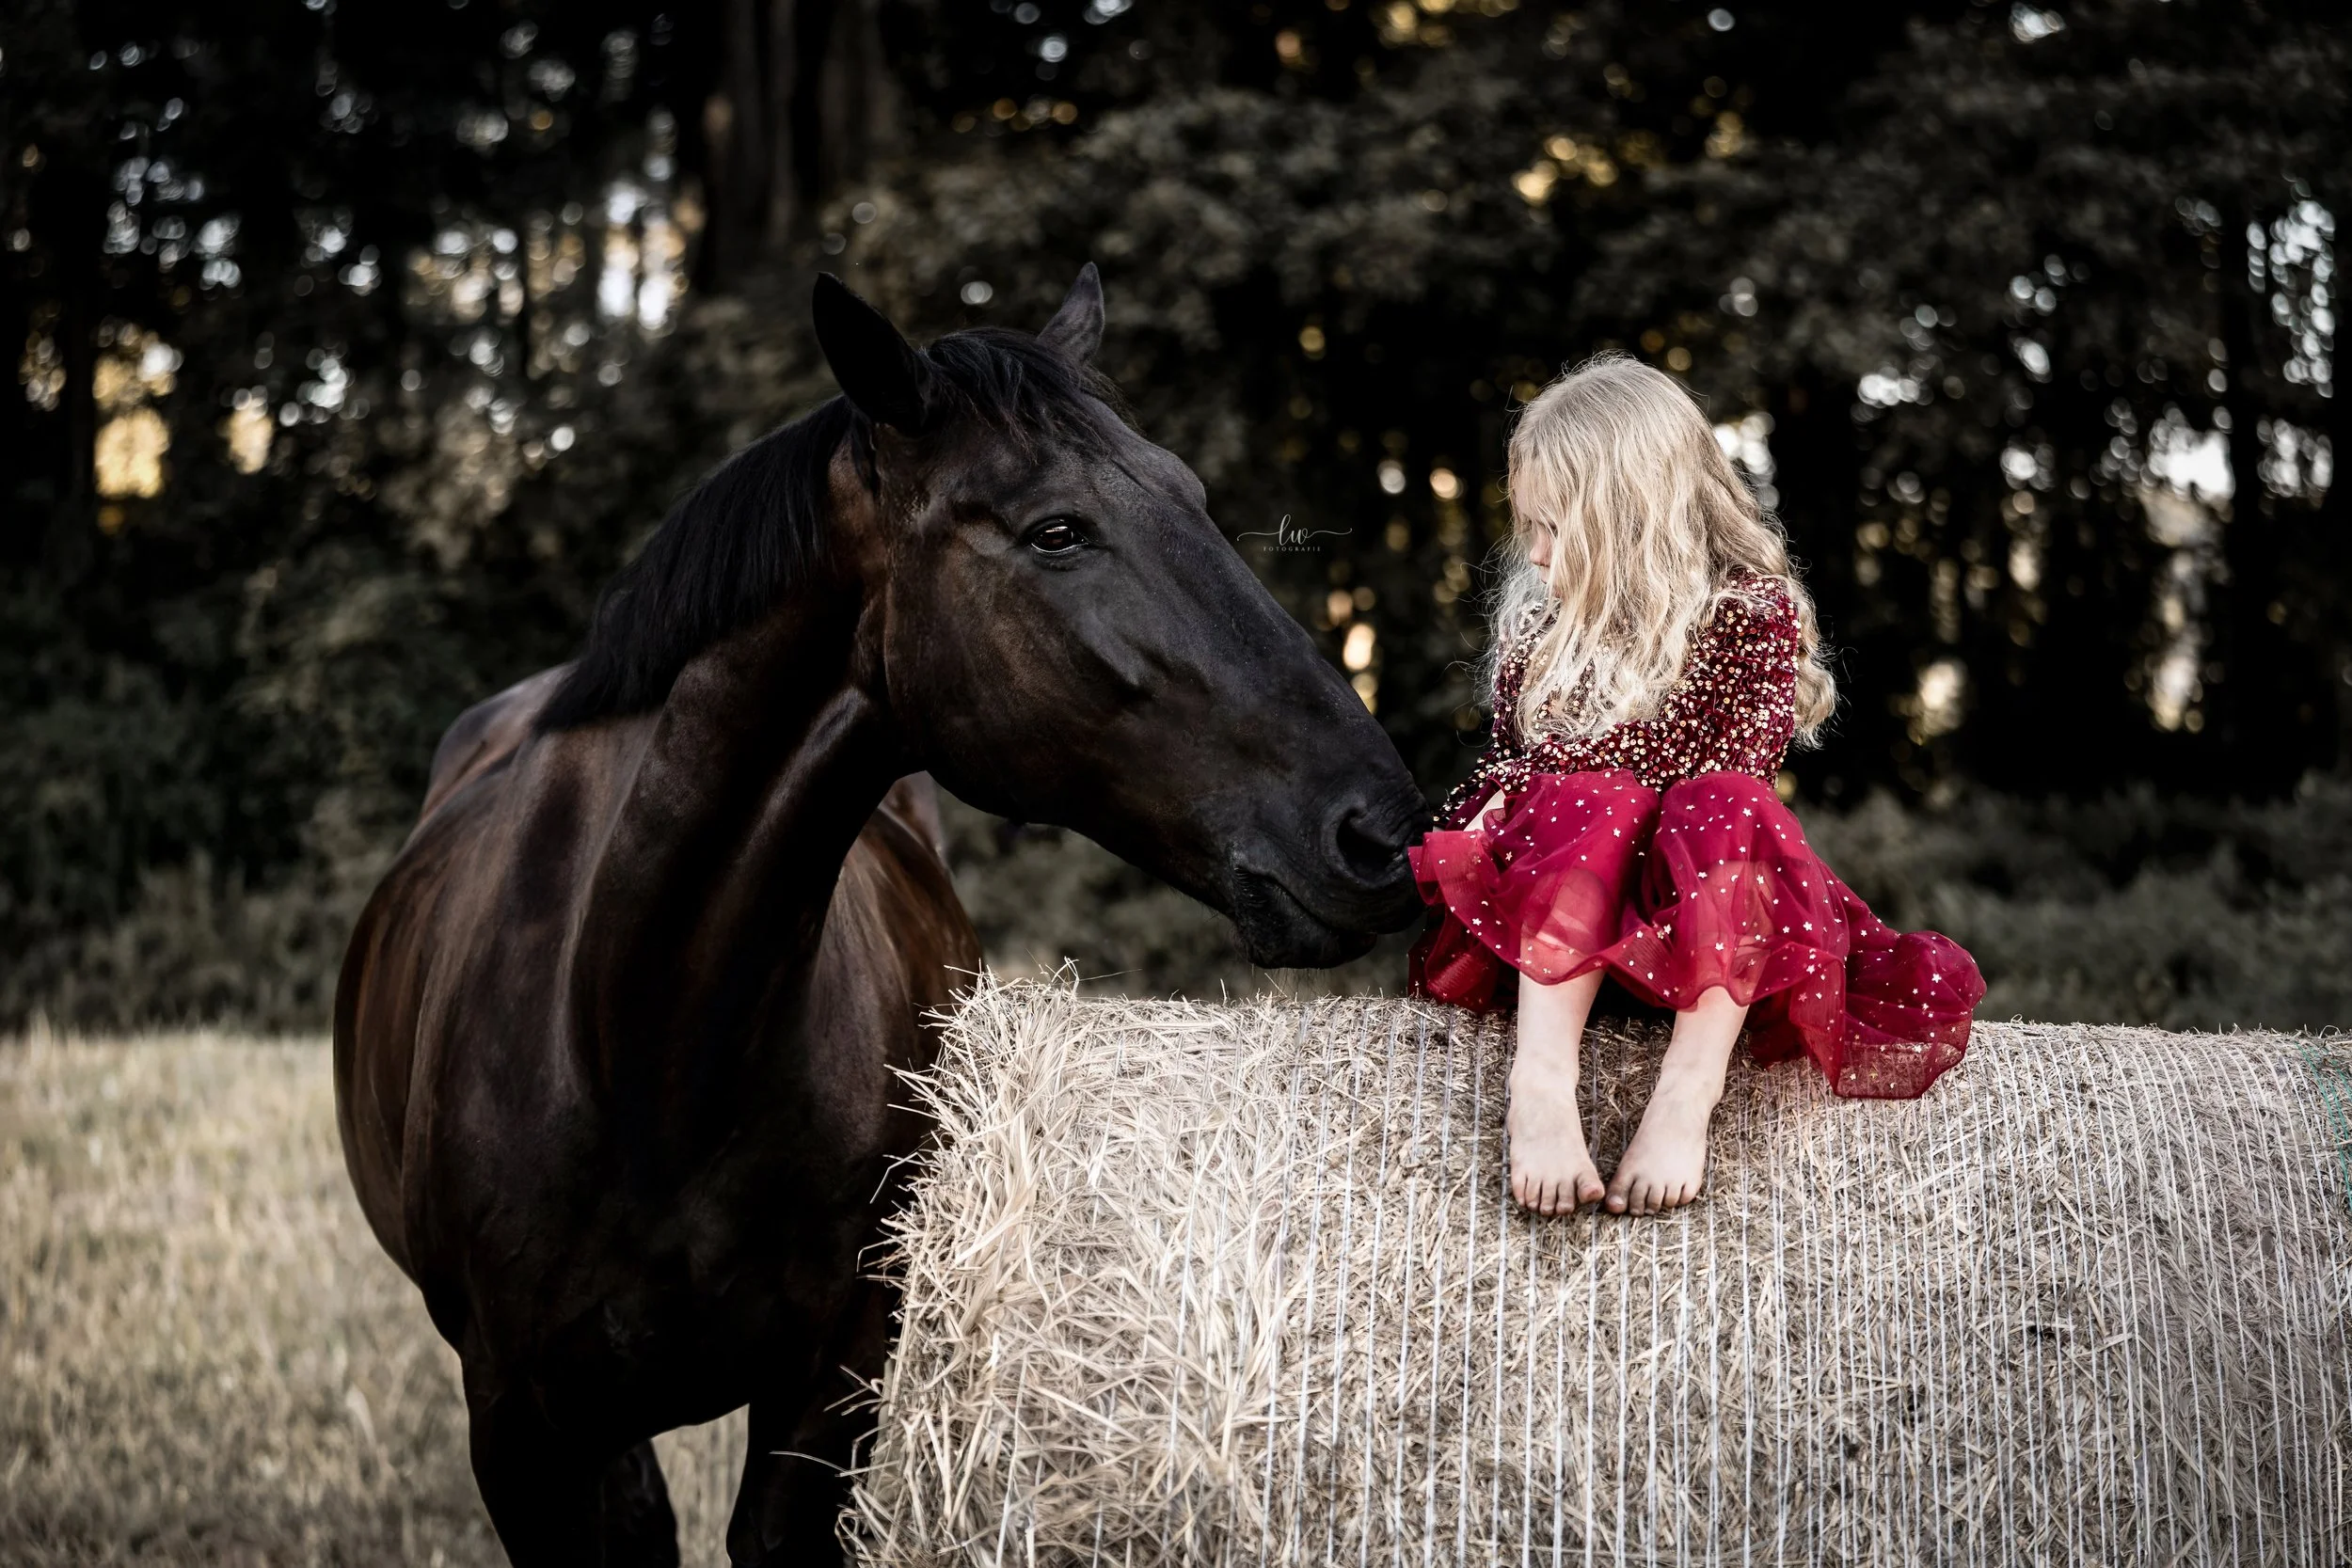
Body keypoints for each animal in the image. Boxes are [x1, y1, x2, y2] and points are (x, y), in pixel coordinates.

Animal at [333, 266, 1427, 1565]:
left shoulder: (831, 1391)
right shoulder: (522, 1429)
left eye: (1192, 497)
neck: (639, 1042)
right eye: (1056, 529)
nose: (1379, 831)